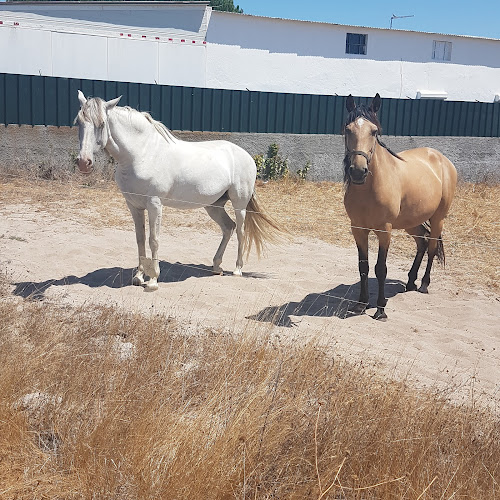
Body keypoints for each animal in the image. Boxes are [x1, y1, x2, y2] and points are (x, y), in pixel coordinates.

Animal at [76, 92, 284, 292]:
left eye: (102, 123)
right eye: (78, 121)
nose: (84, 162)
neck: (143, 153)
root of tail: (246, 155)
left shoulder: (154, 204)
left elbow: (154, 240)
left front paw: (153, 281)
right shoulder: (134, 206)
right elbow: (140, 239)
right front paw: (138, 277)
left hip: (239, 204)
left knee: (240, 231)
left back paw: (237, 269)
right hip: (213, 205)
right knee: (228, 228)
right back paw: (217, 267)